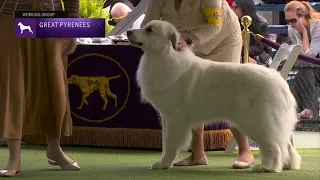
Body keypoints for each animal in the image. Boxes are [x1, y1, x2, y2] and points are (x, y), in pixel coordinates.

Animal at [126, 20, 302, 173]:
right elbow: (165, 141)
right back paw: (287, 165)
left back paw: (268, 168)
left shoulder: (175, 118)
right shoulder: (166, 117)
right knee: (285, 143)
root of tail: (279, 81)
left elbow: (170, 143)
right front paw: (164, 162)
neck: (163, 55)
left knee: (275, 146)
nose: (128, 32)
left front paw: (163, 164)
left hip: (255, 120)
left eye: (149, 30)